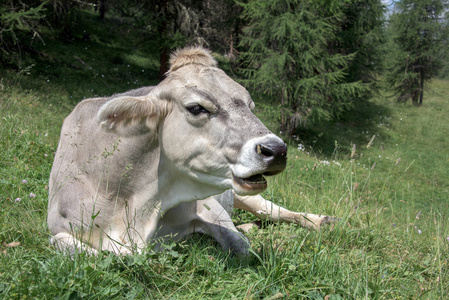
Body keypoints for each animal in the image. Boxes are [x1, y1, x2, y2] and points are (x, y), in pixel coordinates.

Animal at [47, 45, 332, 254]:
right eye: (196, 108)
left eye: (250, 105)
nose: (277, 149)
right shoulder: (57, 229)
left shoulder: (208, 205)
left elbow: (241, 246)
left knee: (276, 212)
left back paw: (320, 221)